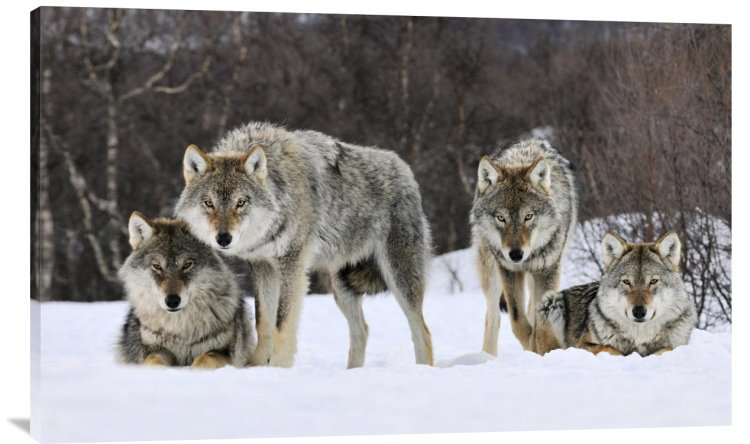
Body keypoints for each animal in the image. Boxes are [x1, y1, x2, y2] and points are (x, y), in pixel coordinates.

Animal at [117, 213, 255, 368]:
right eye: (157, 266)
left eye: (187, 265)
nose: (172, 301)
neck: (180, 329)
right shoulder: (154, 349)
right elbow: (154, 360)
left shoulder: (224, 352)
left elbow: (204, 359)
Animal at [174, 122, 433, 368]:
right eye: (209, 203)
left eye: (241, 202)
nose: (223, 238)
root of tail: (404, 168)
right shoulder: (262, 266)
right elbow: (263, 323)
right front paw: (257, 365)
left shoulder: (292, 266)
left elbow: (282, 324)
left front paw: (278, 368)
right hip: (341, 286)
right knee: (362, 330)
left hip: (399, 278)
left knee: (422, 331)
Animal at [471, 138, 577, 354]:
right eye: (500, 218)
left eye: (528, 216)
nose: (516, 254)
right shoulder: (509, 270)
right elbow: (517, 320)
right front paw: (531, 345)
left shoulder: (547, 270)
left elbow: (539, 320)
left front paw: (540, 348)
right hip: (491, 273)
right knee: (493, 317)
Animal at [534, 231, 697, 356]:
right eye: (626, 282)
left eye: (653, 281)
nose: (639, 312)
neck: (639, 337)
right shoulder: (583, 345)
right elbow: (610, 348)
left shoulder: (675, 346)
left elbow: (667, 349)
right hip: (551, 302)